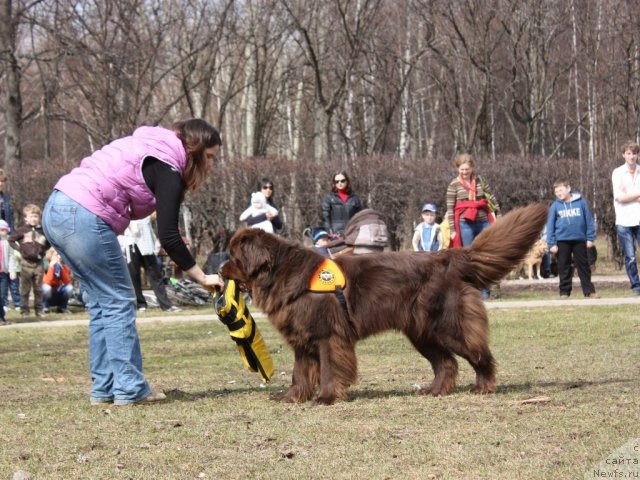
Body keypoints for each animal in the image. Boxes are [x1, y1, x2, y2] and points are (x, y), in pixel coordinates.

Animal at [222, 203, 548, 404]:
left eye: (234, 258)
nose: (220, 270)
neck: (279, 273)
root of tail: (447, 257)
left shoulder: (328, 335)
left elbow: (329, 369)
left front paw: (326, 398)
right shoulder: (302, 339)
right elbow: (300, 372)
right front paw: (292, 398)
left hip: (448, 325)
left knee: (479, 354)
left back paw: (483, 386)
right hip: (422, 332)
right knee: (447, 363)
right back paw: (434, 390)